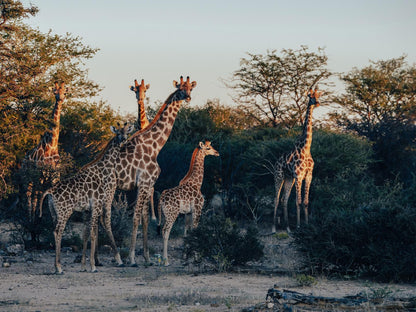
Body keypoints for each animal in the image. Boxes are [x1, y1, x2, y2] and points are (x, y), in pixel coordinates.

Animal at [23, 81, 66, 218]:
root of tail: (24, 157)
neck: (51, 146)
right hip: (28, 175)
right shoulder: (41, 174)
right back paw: (29, 217)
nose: (60, 98)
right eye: (55, 91)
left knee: (34, 195)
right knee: (29, 195)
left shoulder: (55, 176)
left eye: (65, 92)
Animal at [39, 123, 133, 274]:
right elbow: (94, 233)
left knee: (54, 231)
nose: (123, 139)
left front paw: (84, 266)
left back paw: (56, 267)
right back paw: (59, 267)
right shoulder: (97, 204)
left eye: (126, 132)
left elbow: (86, 233)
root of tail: (50, 192)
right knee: (58, 231)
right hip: (65, 211)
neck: (104, 168)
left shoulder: (88, 209)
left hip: (54, 212)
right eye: (118, 133)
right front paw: (93, 266)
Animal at [114, 75, 197, 266]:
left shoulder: (145, 185)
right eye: (181, 88)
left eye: (190, 88)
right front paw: (132, 258)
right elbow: (136, 217)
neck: (154, 145)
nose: (188, 97)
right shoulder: (145, 183)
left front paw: (146, 257)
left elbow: (144, 218)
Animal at [272, 86, 322, 233]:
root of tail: (276, 162)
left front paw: (307, 225)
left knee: (284, 199)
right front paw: (299, 226)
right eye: (310, 96)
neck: (306, 148)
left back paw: (288, 227)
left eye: (318, 95)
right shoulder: (299, 175)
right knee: (276, 198)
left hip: (289, 178)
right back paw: (274, 227)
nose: (317, 103)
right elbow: (298, 202)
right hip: (279, 176)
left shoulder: (309, 175)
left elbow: (305, 202)